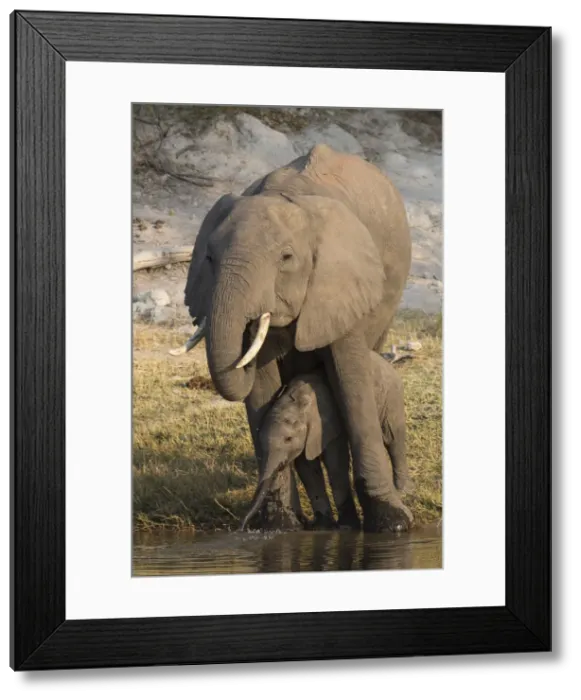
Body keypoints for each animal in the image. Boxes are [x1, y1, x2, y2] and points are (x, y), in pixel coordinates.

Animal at [239, 350, 413, 532]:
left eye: (288, 439)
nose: (243, 527)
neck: (296, 403)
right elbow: (306, 466)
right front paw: (322, 526)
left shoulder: (329, 421)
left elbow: (335, 461)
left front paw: (347, 526)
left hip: (391, 394)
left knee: (393, 439)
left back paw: (403, 491)